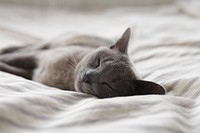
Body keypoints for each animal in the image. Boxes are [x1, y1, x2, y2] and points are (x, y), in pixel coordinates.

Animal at [0, 27, 166, 97]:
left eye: (108, 84)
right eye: (98, 62)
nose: (88, 77)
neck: (65, 78)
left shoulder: (32, 73)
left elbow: (13, 69)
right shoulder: (38, 57)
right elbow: (13, 59)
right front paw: (3, 58)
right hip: (46, 45)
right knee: (24, 47)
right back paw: (5, 48)